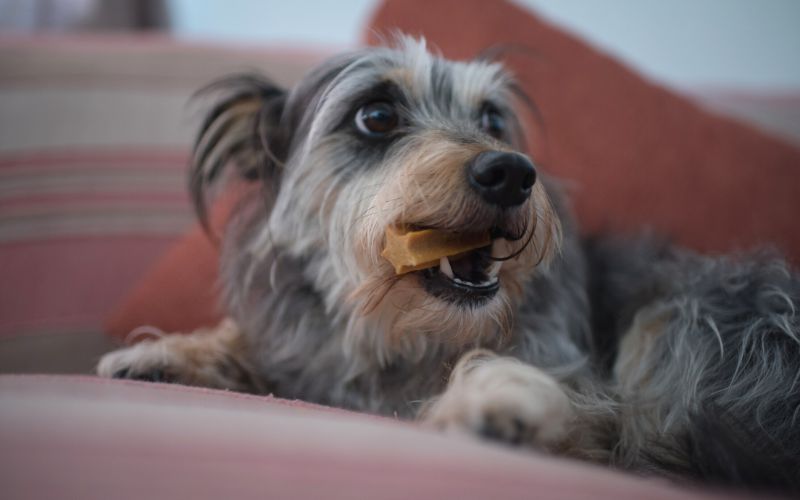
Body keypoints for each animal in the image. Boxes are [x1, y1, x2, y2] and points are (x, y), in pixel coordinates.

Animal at [95, 37, 800, 494]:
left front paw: (496, 400)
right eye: (376, 115)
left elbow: (552, 392)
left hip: (683, 319)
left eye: (491, 118)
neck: (398, 337)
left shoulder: (581, 376)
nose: (512, 173)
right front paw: (168, 354)